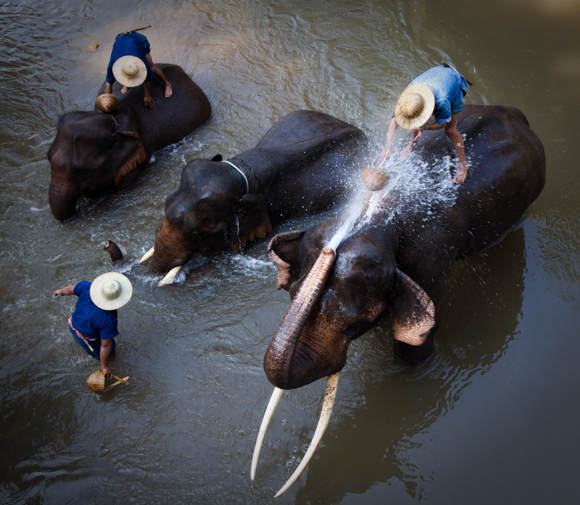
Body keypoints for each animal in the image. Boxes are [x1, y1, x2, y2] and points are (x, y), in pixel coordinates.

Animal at [251, 103, 548, 496]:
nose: (333, 249)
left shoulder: (430, 260)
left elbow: (414, 352)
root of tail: (517, 113)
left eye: (354, 325)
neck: (382, 216)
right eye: (292, 294)